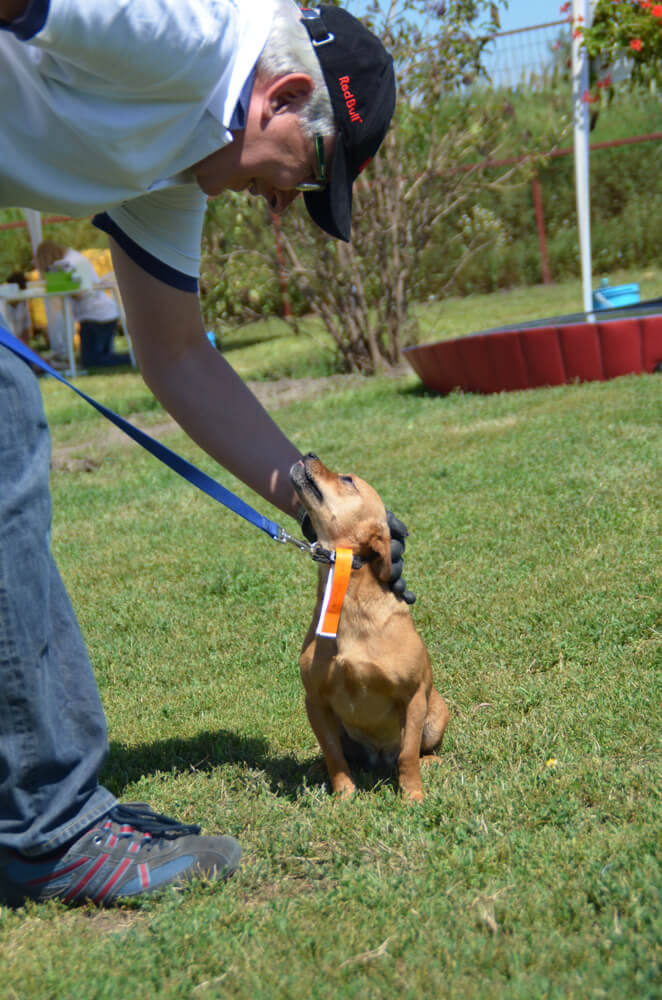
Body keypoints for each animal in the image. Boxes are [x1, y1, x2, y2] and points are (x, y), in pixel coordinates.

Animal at [290, 453, 449, 802]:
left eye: (347, 480)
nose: (308, 454)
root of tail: (377, 757)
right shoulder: (315, 701)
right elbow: (334, 756)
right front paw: (344, 796)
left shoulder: (413, 697)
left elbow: (407, 754)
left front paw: (413, 795)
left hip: (437, 713)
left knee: (418, 750)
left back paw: (430, 762)